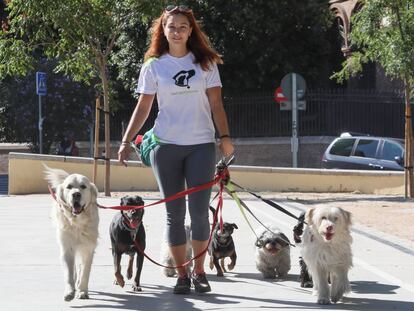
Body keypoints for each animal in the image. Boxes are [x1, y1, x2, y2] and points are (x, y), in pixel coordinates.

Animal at [44, 168, 99, 302]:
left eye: (83, 186)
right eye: (69, 187)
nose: (76, 194)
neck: (77, 223)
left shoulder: (88, 249)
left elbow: (85, 273)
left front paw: (83, 291)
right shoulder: (67, 248)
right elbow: (68, 273)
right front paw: (69, 292)